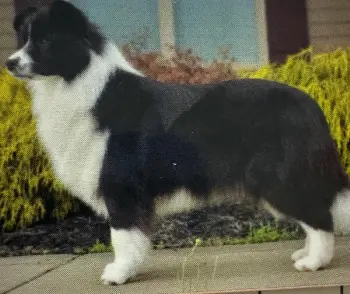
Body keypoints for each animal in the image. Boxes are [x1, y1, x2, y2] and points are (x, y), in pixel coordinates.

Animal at [6, 0, 350, 284]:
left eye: (45, 41)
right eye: (24, 39)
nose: (9, 62)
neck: (78, 81)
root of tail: (311, 105)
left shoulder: (120, 184)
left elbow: (121, 236)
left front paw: (118, 274)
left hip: (278, 177)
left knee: (319, 216)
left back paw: (314, 263)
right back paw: (305, 254)